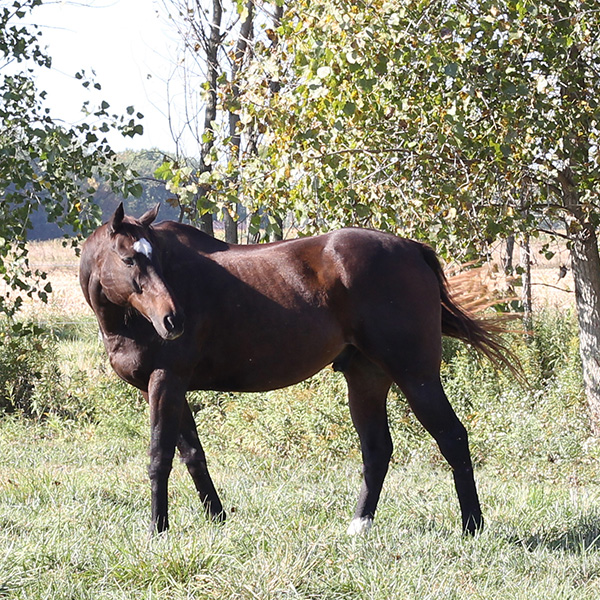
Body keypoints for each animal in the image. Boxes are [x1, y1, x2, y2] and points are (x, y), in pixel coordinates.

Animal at [78, 205, 516, 536]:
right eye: (129, 258)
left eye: (155, 258)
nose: (173, 321)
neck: (128, 321)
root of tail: (412, 248)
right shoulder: (171, 387)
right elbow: (192, 455)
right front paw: (216, 518)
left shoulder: (165, 382)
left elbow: (160, 457)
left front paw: (158, 529)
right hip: (367, 378)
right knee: (377, 449)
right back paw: (359, 526)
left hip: (416, 376)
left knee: (452, 438)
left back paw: (472, 526)